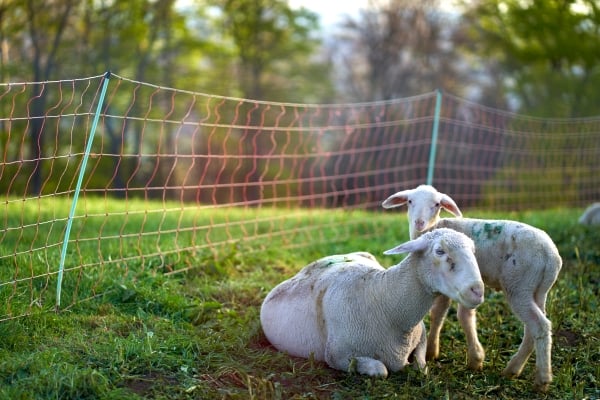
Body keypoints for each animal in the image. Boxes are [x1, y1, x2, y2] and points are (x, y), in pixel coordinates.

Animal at [260, 228, 486, 378]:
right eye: (439, 251)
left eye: (474, 251)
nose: (477, 291)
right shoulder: (337, 355)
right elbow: (381, 370)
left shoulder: (420, 335)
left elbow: (421, 367)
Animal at [384, 186, 564, 392]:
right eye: (409, 201)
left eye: (437, 204)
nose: (419, 222)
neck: (433, 228)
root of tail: (551, 256)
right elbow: (462, 315)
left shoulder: (446, 281)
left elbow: (439, 313)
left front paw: (432, 351)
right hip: (539, 289)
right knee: (533, 328)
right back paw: (513, 369)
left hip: (519, 286)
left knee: (540, 325)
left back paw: (542, 379)